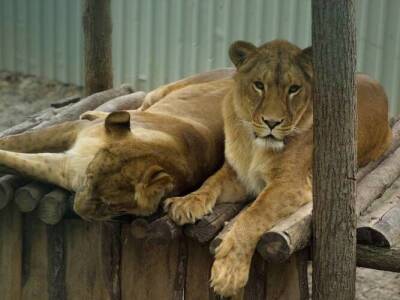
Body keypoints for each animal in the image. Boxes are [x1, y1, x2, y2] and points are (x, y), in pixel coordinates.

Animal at [0, 69, 233, 220]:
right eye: (89, 177)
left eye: (111, 204)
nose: (78, 209)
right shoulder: (73, 130)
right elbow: (21, 140)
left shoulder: (65, 170)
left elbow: (18, 161)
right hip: (159, 94)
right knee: (136, 108)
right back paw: (97, 114)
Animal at [163, 39, 390, 296]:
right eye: (259, 85)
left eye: (294, 89)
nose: (272, 122)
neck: (254, 145)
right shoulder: (240, 175)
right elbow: (210, 183)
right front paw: (185, 202)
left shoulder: (291, 184)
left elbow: (254, 214)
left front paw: (228, 272)